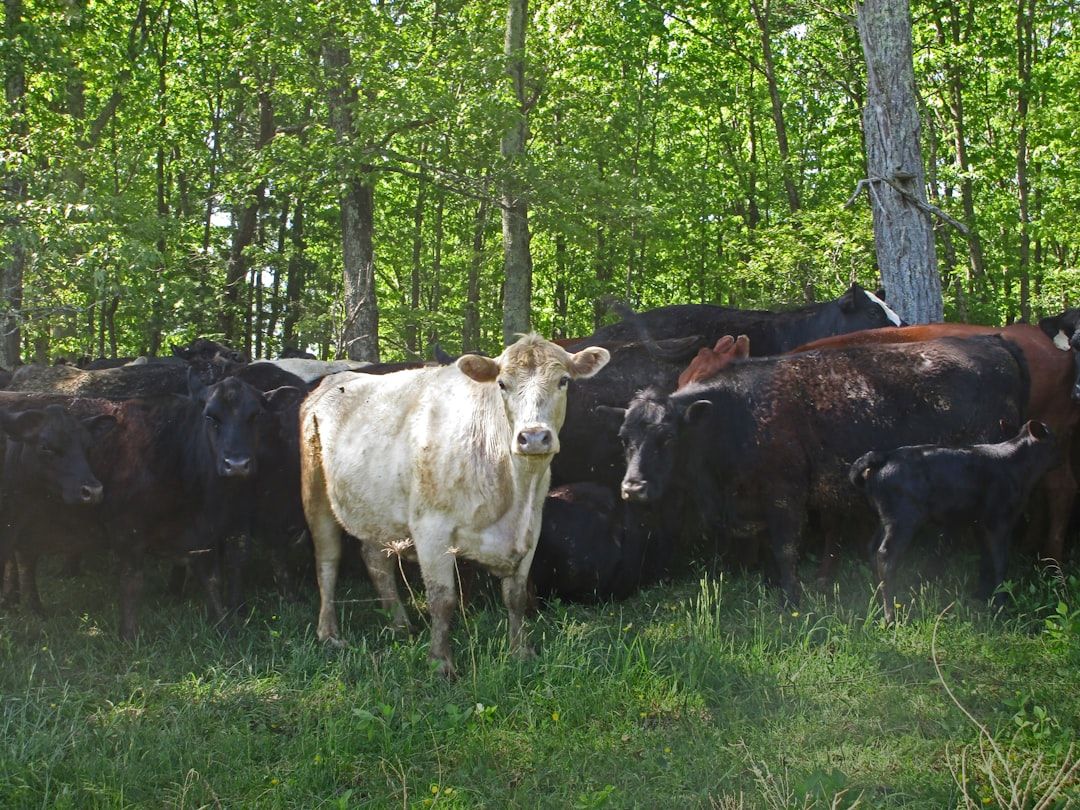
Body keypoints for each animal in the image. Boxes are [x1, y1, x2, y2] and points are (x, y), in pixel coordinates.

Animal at [300, 334, 610, 677]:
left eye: (563, 381)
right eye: (502, 384)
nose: (533, 437)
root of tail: (335, 379)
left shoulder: (532, 527)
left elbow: (515, 595)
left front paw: (521, 652)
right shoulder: (431, 529)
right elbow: (443, 599)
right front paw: (441, 663)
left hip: (378, 510)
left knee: (376, 559)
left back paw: (400, 624)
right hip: (315, 488)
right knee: (327, 560)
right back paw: (329, 632)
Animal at [614, 336, 1029, 605]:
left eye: (667, 437)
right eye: (624, 438)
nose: (633, 488)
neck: (735, 413)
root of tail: (992, 341)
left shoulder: (785, 495)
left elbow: (784, 548)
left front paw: (792, 598)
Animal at [851, 420, 1058, 622]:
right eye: (1055, 441)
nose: (1062, 458)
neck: (1016, 465)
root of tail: (886, 455)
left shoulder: (980, 524)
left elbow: (985, 560)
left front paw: (982, 596)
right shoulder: (999, 521)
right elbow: (1000, 562)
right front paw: (1001, 604)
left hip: (886, 519)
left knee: (872, 548)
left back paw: (878, 600)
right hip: (903, 519)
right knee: (885, 555)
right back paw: (890, 615)